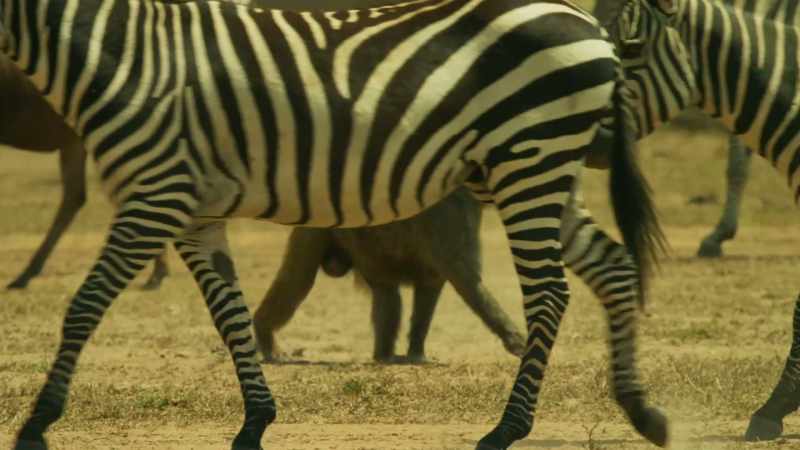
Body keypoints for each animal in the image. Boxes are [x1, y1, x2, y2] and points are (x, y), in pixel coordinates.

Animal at [0, 0, 667, 449]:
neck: (117, 51)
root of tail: (591, 26)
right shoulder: (195, 211)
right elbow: (230, 315)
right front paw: (255, 421)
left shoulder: (156, 193)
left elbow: (84, 305)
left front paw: (36, 423)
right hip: (536, 167)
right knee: (612, 266)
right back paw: (641, 410)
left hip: (530, 157)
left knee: (550, 293)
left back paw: (507, 428)